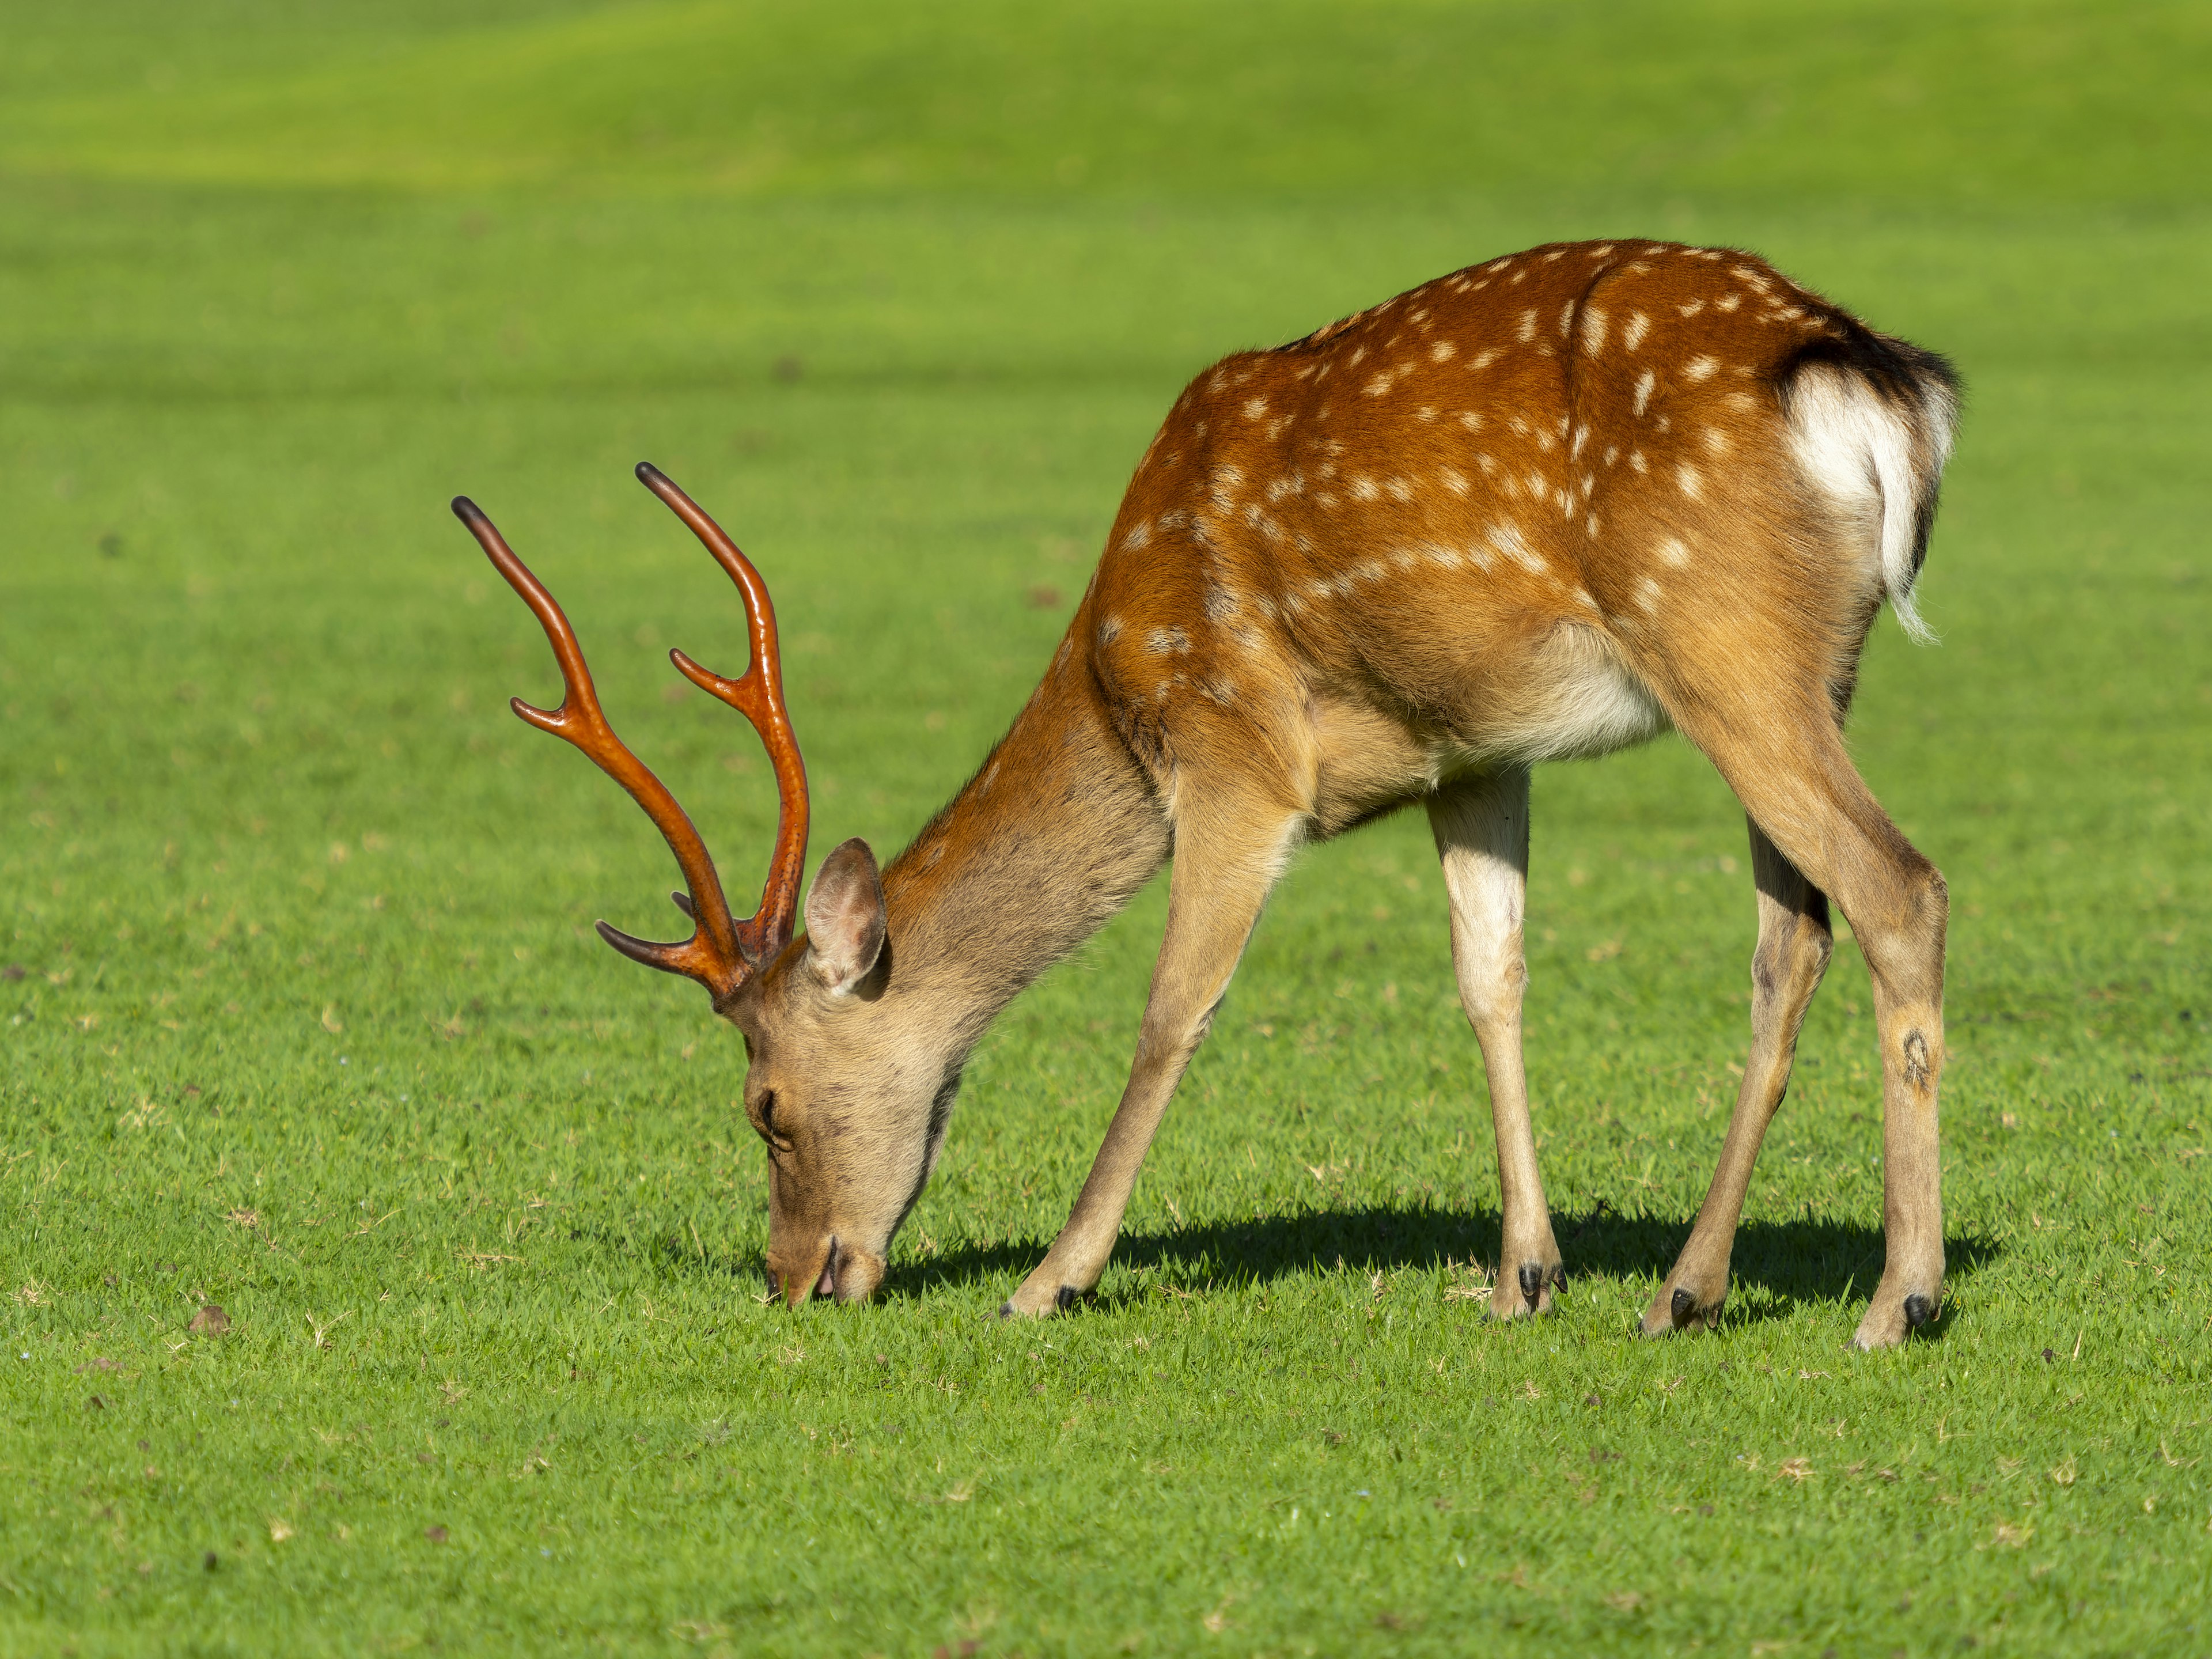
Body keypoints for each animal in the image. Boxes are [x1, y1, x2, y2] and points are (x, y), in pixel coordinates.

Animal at [449, 236, 1955, 1354]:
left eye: (763, 1104)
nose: (796, 1273)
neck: (1114, 671)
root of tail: (1876, 384)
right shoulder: (1471, 751)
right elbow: (1491, 976)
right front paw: (1522, 1274)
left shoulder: (1234, 748)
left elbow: (1173, 1007)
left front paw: (1049, 1277)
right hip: (1813, 667)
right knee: (1793, 938)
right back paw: (1685, 1286)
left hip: (1715, 629)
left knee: (1900, 886)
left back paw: (1900, 1296)